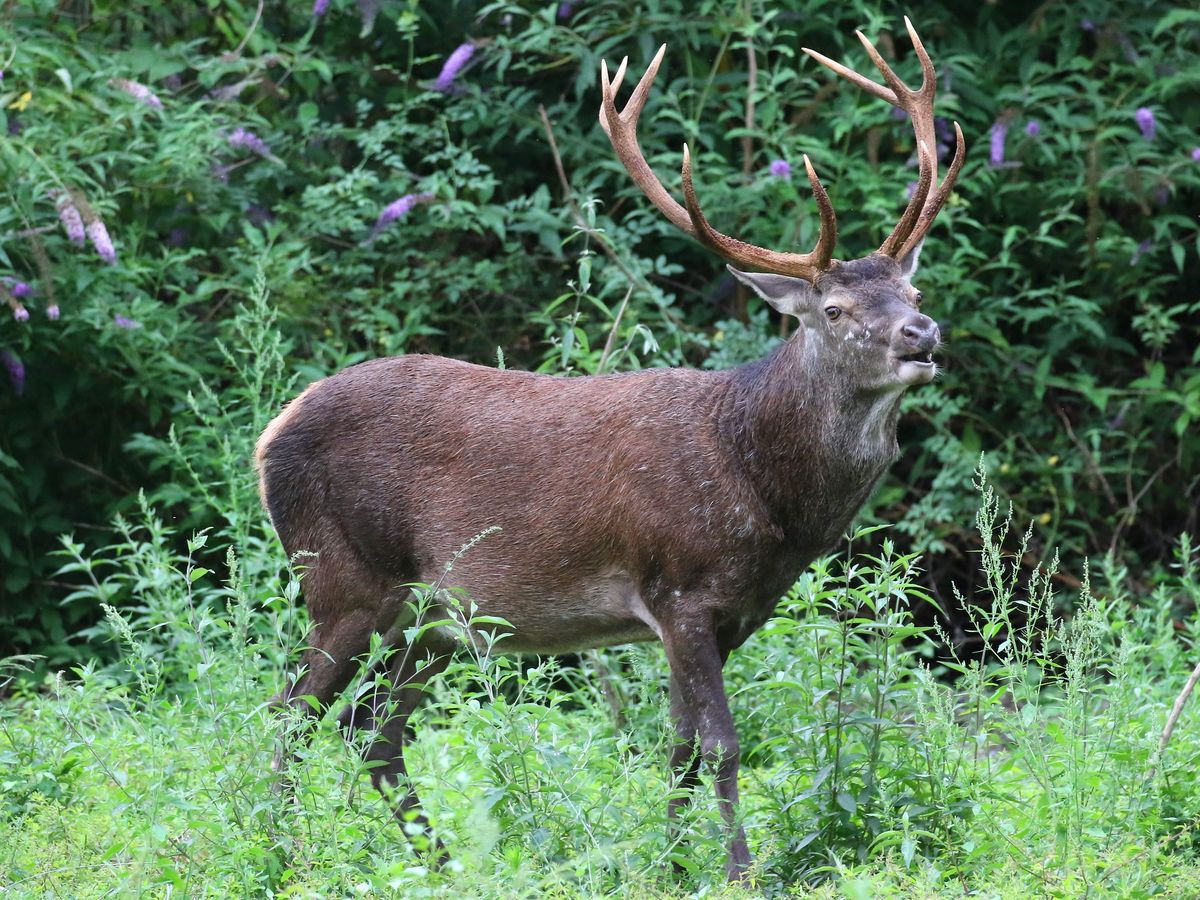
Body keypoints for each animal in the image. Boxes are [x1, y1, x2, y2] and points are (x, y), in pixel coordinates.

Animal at [255, 17, 964, 883]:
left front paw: (670, 865)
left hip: (436, 619)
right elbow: (723, 747)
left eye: (914, 292)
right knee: (291, 714)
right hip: (343, 576)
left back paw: (442, 864)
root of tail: (270, 432)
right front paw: (739, 873)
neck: (766, 489)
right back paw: (277, 858)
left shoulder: (726, 613)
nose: (922, 334)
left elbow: (680, 749)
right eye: (833, 309)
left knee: (372, 727)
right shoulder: (680, 588)